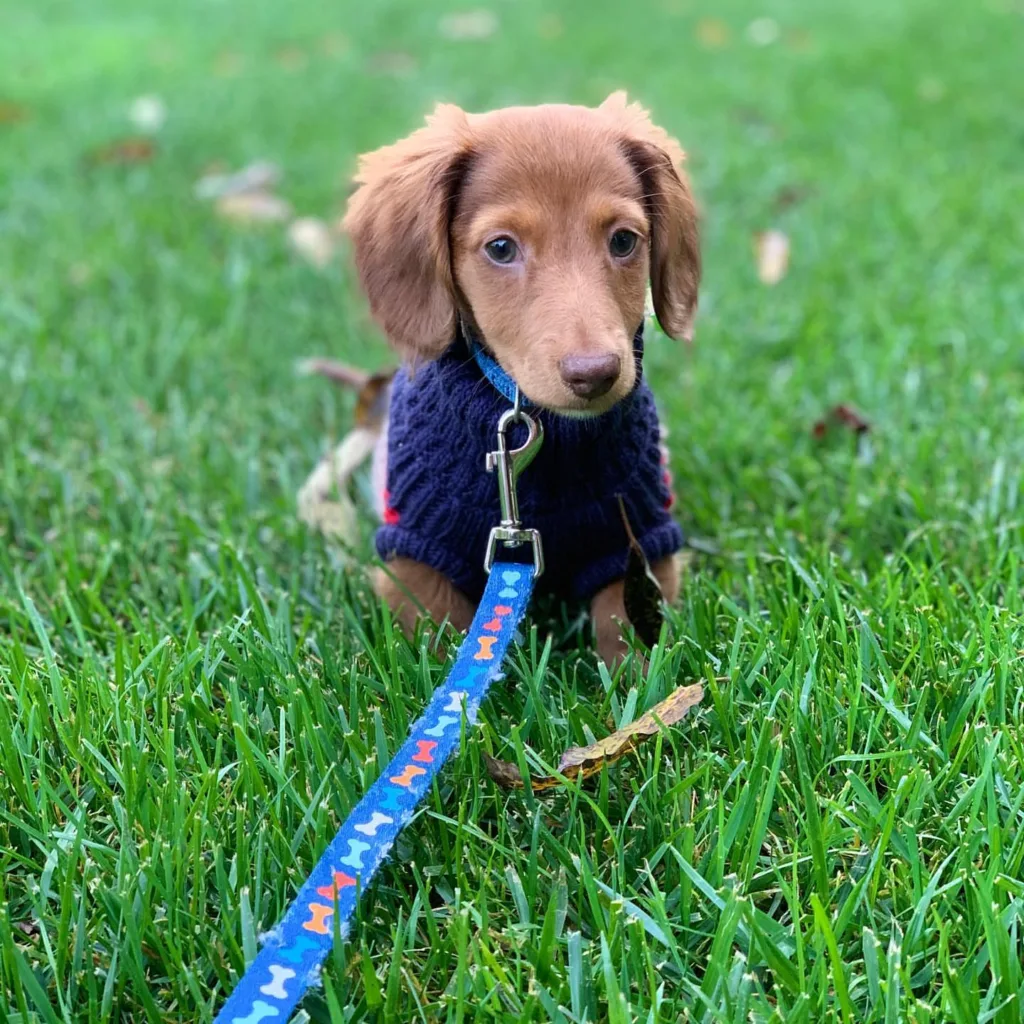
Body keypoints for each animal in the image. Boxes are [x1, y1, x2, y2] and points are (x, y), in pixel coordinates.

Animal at [339, 90, 700, 663]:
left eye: (624, 241)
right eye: (501, 248)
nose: (595, 374)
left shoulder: (637, 540)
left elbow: (626, 630)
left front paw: (643, 687)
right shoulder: (417, 553)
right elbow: (438, 638)